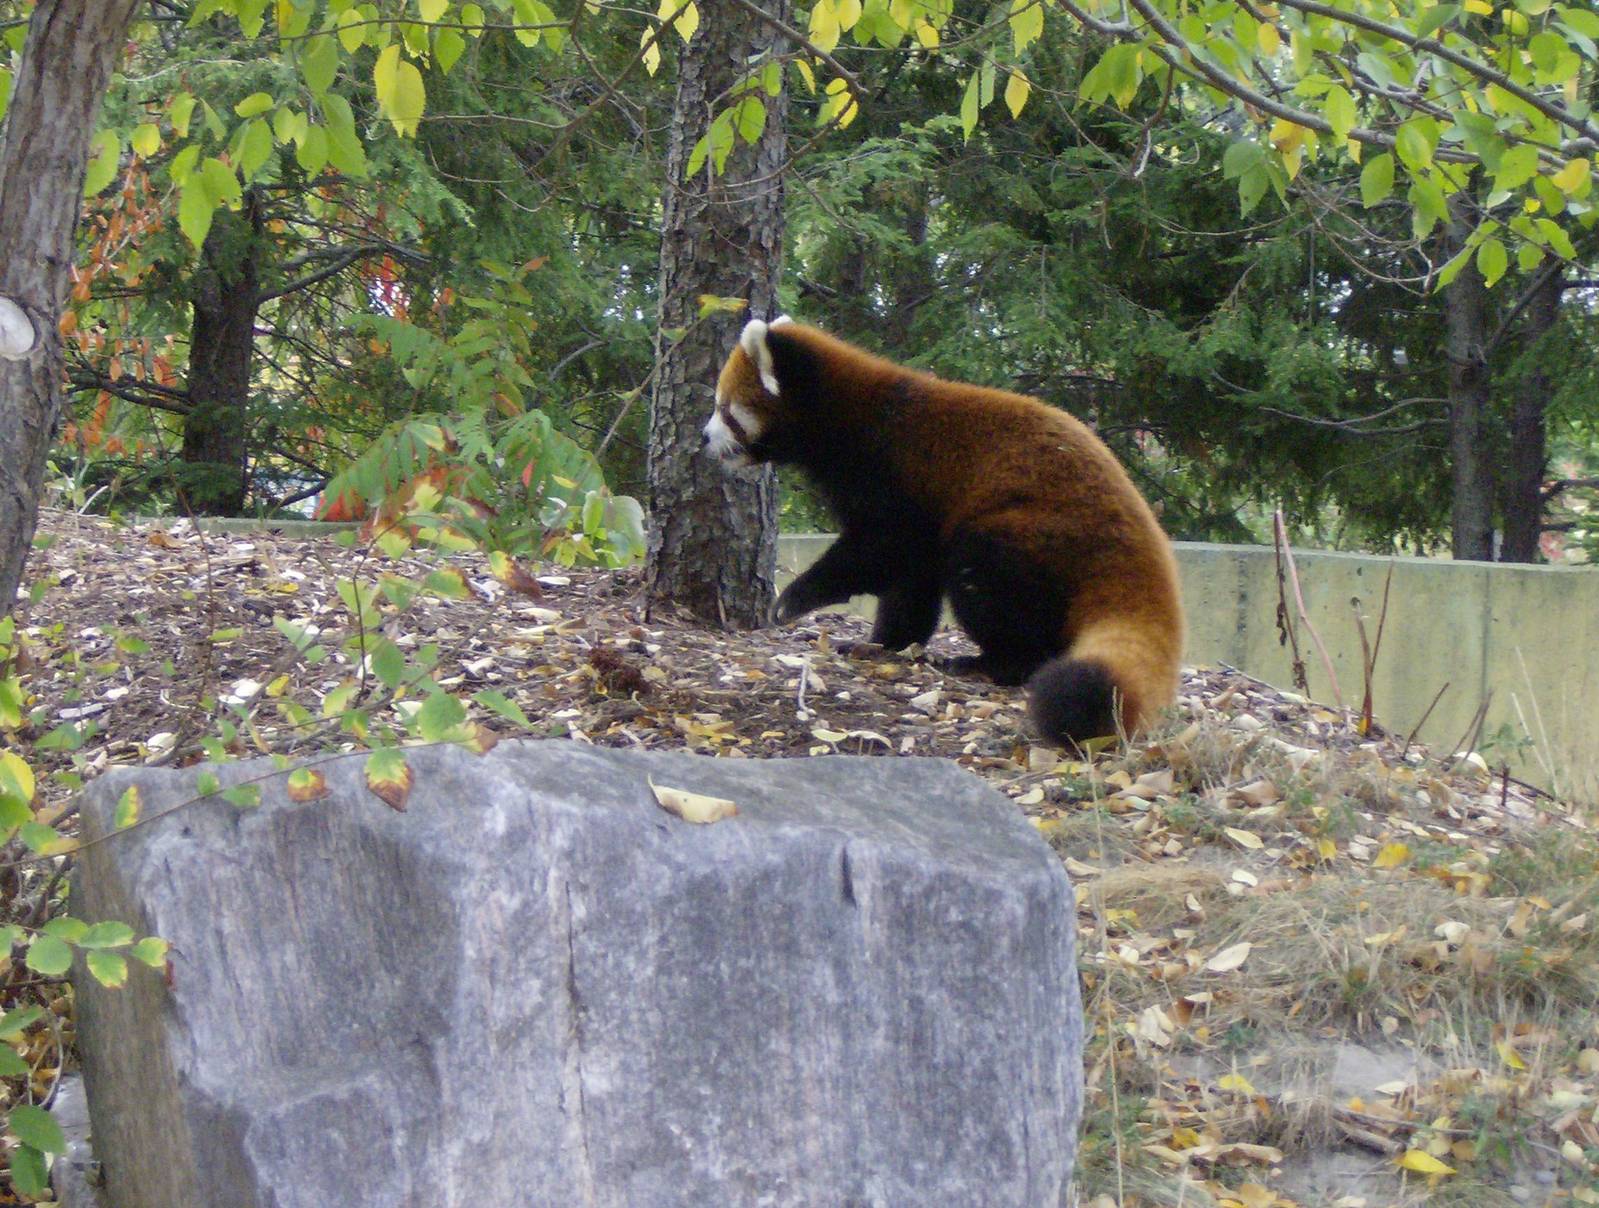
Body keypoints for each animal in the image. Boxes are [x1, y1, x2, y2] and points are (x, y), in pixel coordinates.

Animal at [703, 316, 1184, 746]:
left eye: (725, 409)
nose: (704, 437)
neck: (852, 417)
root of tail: (1141, 545)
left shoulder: (892, 477)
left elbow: (877, 552)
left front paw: (793, 598)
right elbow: (910, 584)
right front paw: (883, 644)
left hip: (1040, 533)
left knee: (982, 571)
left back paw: (992, 663)